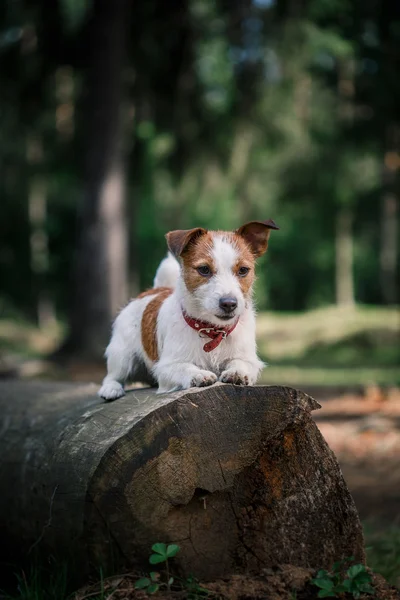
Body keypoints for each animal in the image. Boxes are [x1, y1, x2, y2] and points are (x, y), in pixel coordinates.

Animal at [98, 219, 278, 398]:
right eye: (204, 269)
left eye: (243, 270)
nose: (229, 303)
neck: (212, 331)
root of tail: (155, 290)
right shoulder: (167, 366)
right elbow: (184, 367)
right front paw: (199, 374)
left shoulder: (248, 359)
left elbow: (241, 363)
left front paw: (237, 372)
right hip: (122, 355)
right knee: (113, 375)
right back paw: (111, 388)